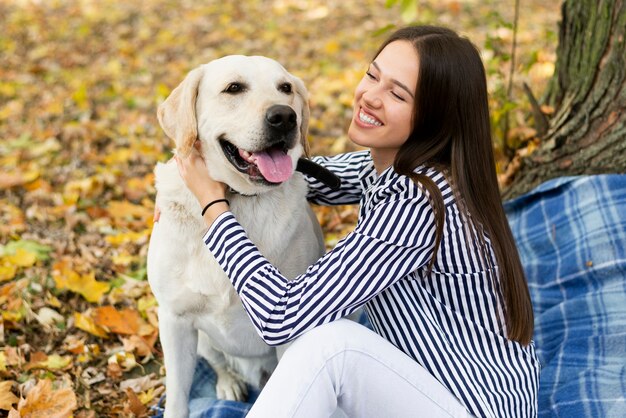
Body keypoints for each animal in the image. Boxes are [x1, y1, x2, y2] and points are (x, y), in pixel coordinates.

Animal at [145, 56, 322, 418]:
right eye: (234, 88)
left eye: (286, 87)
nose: (285, 116)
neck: (235, 200)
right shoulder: (173, 319)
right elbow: (177, 398)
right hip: (200, 341)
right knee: (218, 363)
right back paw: (229, 382)